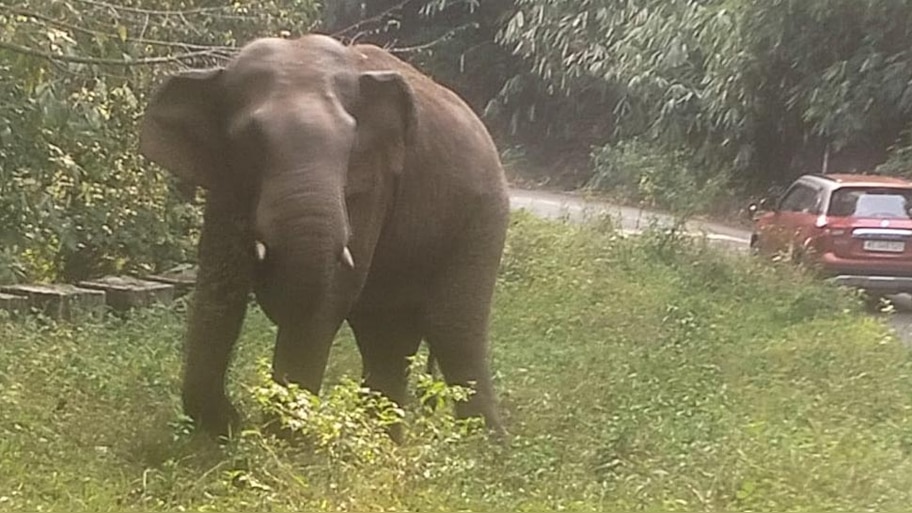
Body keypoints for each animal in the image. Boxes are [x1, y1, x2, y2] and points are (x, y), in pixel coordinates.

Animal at [139, 34, 509, 440]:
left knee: (453, 330)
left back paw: (484, 450)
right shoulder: (225, 180)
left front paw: (281, 443)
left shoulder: (372, 181)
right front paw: (227, 430)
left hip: (482, 218)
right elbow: (219, 288)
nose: (238, 419)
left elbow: (327, 299)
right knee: (388, 338)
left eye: (350, 143)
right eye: (251, 141)